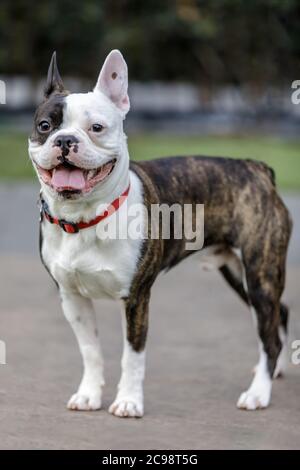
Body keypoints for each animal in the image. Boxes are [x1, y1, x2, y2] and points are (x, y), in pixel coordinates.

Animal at [27, 49, 290, 416]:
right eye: (45, 126)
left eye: (97, 128)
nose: (65, 140)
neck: (86, 217)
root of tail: (257, 169)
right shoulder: (72, 298)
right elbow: (91, 351)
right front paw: (89, 394)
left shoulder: (136, 298)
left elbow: (132, 356)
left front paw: (128, 402)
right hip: (239, 275)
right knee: (281, 313)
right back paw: (278, 369)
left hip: (259, 274)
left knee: (270, 334)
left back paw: (258, 393)